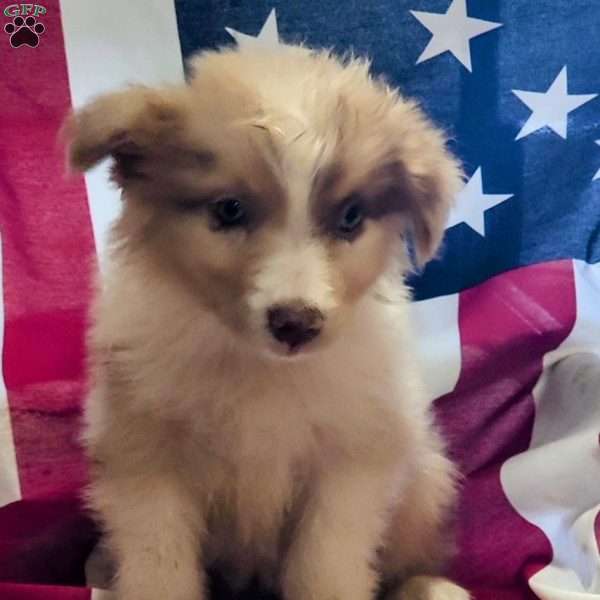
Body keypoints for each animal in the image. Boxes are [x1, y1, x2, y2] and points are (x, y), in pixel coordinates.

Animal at [64, 43, 468, 600]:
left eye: (350, 217)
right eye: (230, 209)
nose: (296, 323)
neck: (261, 371)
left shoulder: (351, 462)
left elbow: (325, 566)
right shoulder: (144, 458)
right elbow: (160, 565)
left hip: (425, 477)